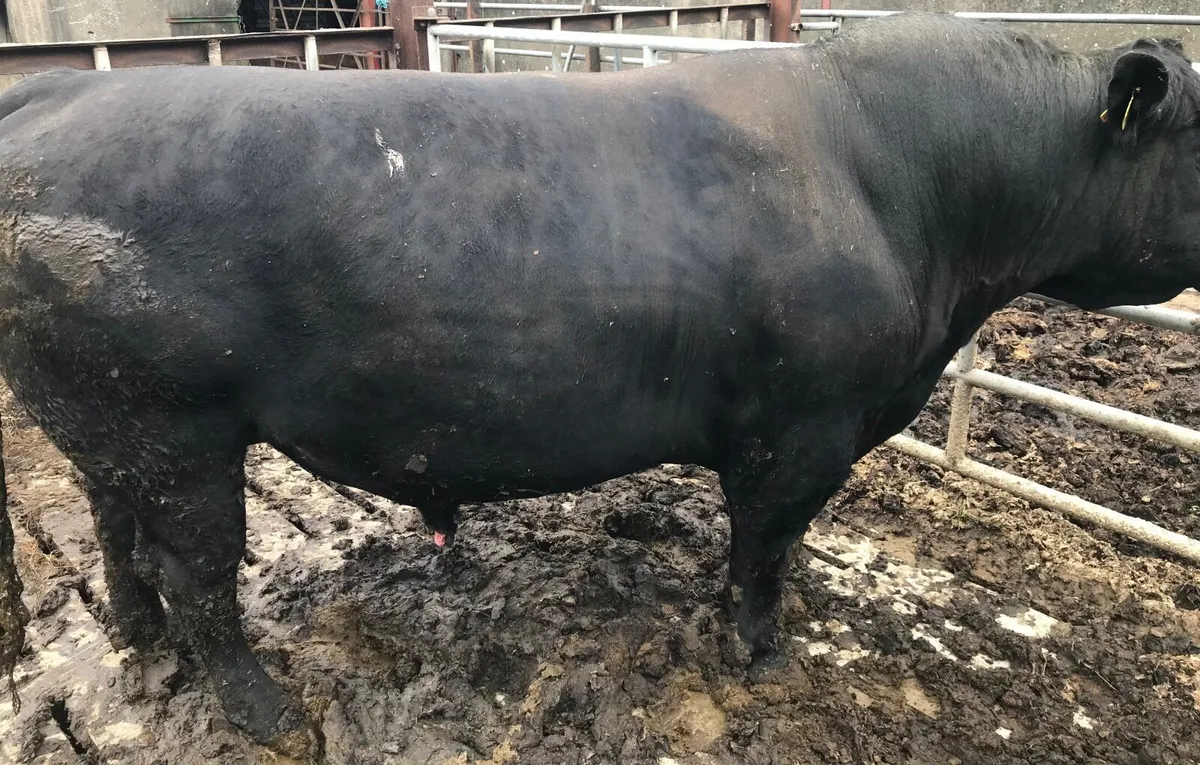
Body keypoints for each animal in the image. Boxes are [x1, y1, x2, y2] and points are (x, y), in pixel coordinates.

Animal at [0, 11, 1197, 752]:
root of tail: (48, 101)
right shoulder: (801, 427)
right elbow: (765, 545)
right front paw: (761, 653)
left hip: (108, 422)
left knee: (116, 535)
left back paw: (139, 647)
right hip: (173, 427)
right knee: (195, 572)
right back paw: (264, 711)